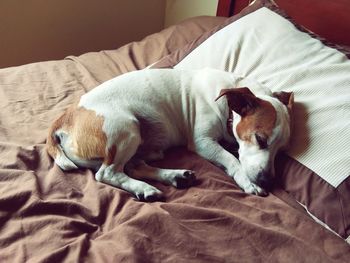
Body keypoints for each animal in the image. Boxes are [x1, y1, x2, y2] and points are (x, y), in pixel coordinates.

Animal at [45, 68, 292, 202]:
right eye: (260, 139)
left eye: (281, 151)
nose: (268, 181)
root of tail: (63, 119)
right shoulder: (203, 142)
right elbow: (233, 160)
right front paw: (248, 182)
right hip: (127, 129)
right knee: (108, 173)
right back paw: (144, 188)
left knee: (133, 167)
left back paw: (175, 177)